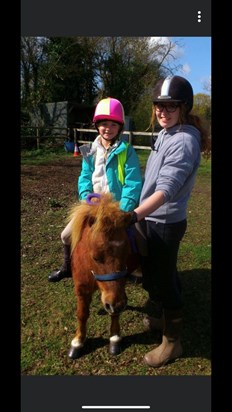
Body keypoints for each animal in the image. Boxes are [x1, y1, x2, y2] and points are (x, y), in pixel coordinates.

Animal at [67, 192, 135, 358]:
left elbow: (114, 313)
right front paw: (78, 342)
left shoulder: (117, 291)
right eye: (96, 257)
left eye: (127, 253)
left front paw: (115, 338)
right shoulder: (81, 289)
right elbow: (82, 314)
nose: (118, 305)